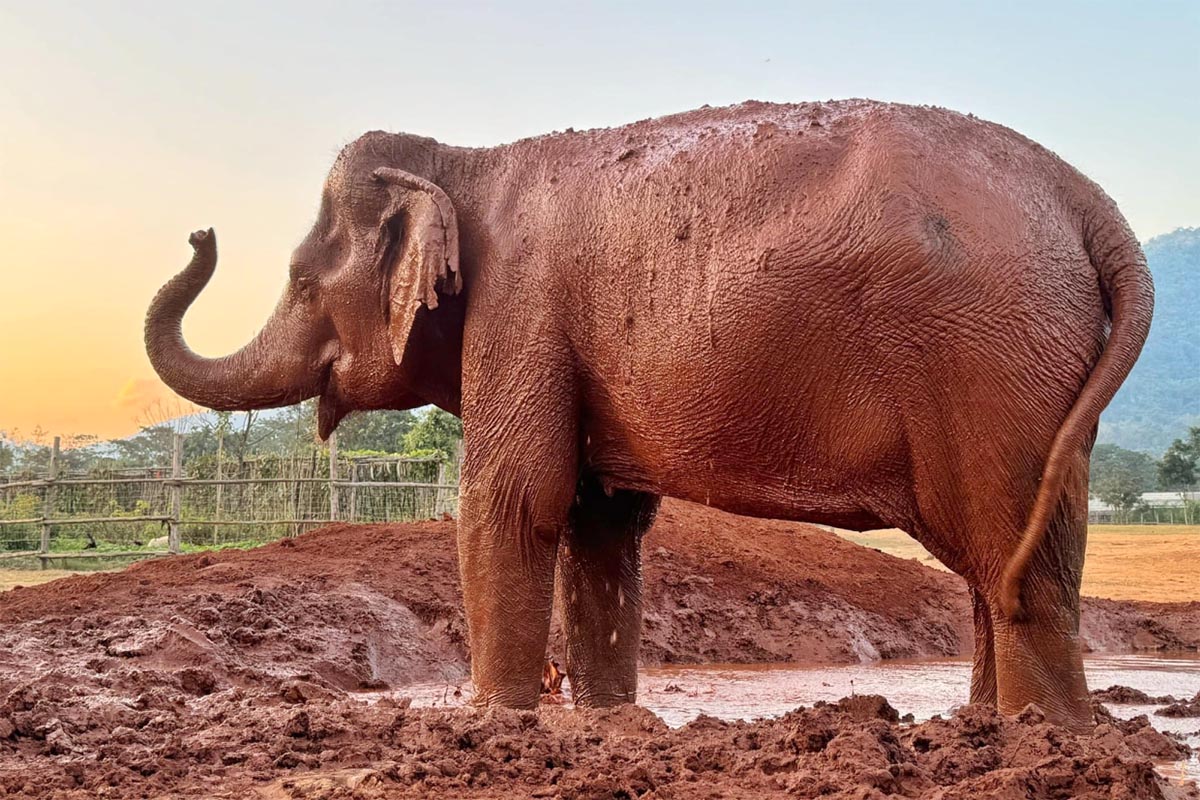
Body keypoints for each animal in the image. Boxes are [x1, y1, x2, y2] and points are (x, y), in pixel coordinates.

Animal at [145, 100, 1152, 731]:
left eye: (301, 281)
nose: (199, 231)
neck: (466, 160)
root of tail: (1087, 200)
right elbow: (599, 521)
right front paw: (609, 721)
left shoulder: (521, 309)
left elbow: (512, 501)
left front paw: (491, 724)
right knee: (1005, 556)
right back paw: (988, 728)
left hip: (993, 361)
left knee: (1011, 554)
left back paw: (1046, 736)